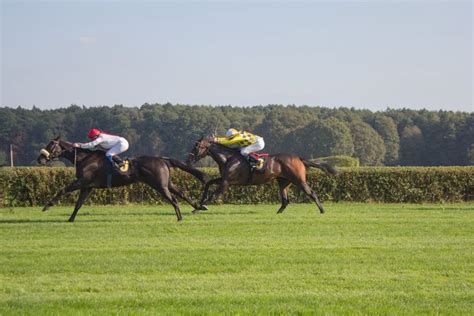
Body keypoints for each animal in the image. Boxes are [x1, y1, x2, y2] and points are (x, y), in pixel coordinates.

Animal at [36, 138, 207, 222]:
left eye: (51, 145)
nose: (40, 159)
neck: (85, 158)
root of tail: (162, 159)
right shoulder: (87, 186)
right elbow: (78, 204)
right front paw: (70, 219)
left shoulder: (82, 182)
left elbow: (62, 190)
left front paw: (47, 206)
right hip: (166, 183)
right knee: (182, 193)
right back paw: (199, 207)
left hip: (159, 185)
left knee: (174, 199)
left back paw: (180, 217)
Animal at [187, 136, 338, 215]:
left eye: (197, 146)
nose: (189, 159)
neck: (228, 158)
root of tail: (299, 158)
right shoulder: (224, 179)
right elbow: (208, 183)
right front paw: (199, 205)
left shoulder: (226, 182)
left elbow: (213, 196)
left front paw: (198, 208)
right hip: (283, 181)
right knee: (285, 200)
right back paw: (278, 213)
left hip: (298, 180)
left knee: (311, 193)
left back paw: (322, 210)